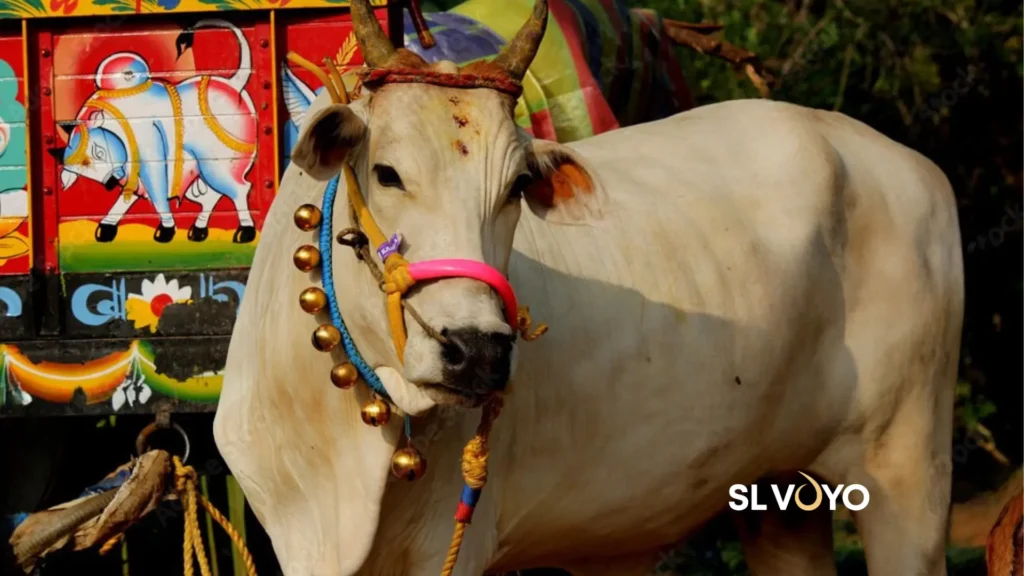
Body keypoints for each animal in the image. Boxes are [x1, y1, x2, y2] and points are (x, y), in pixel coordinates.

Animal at [52, 19, 257, 245]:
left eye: (99, 152)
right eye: (83, 171)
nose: (110, 183)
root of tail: (235, 84)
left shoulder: (151, 154)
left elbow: (157, 194)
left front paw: (166, 230)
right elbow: (125, 199)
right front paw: (106, 228)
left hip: (218, 164)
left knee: (239, 189)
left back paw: (245, 231)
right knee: (211, 195)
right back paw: (198, 230)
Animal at [213, 1, 965, 574]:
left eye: (518, 184)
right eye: (387, 172)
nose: (476, 351)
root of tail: (912, 165)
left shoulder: (450, 549)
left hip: (909, 472)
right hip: (780, 493)